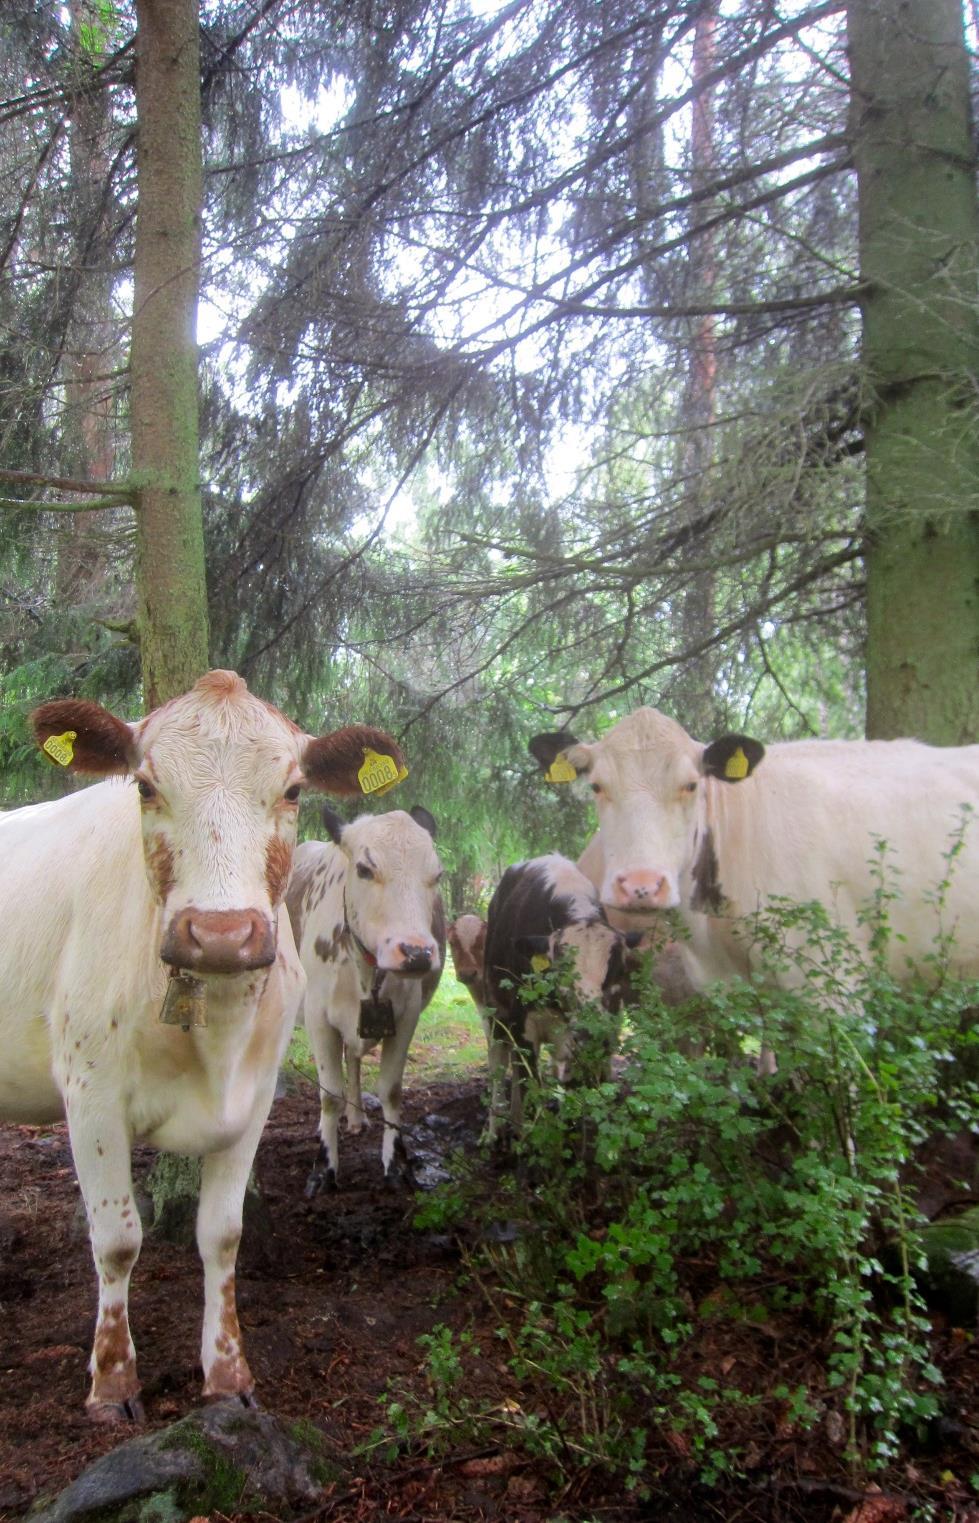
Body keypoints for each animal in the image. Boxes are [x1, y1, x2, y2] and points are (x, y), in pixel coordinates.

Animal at [0, 673, 404, 1419]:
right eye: (145, 785)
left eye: (294, 789)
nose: (220, 934)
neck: (214, 1033)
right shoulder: (90, 1095)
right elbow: (117, 1239)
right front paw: (113, 1381)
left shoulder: (256, 1097)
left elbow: (221, 1233)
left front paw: (227, 1371)